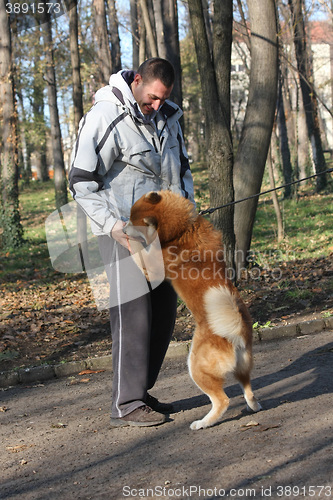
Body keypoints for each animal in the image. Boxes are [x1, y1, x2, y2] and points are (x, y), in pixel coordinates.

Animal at [123, 191, 260, 430]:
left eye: (132, 222)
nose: (122, 228)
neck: (181, 230)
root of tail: (235, 332)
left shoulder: (153, 269)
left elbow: (140, 253)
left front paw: (130, 243)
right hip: (243, 366)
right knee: (248, 389)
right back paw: (253, 406)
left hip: (196, 367)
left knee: (222, 400)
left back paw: (203, 423)